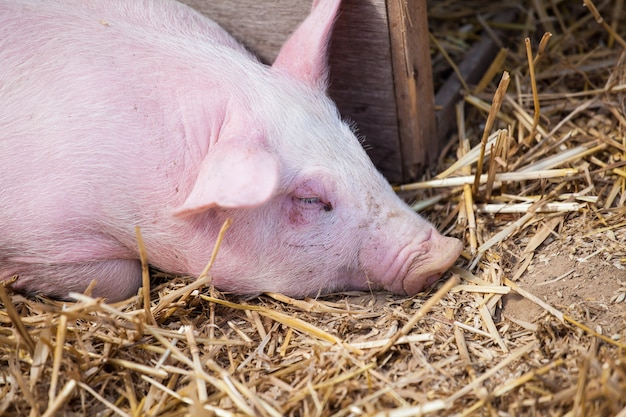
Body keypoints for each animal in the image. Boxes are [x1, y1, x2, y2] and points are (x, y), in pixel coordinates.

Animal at [0, 0, 458, 300]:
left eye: (358, 149)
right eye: (310, 199)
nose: (443, 254)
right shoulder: (48, 231)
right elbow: (124, 279)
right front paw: (14, 277)